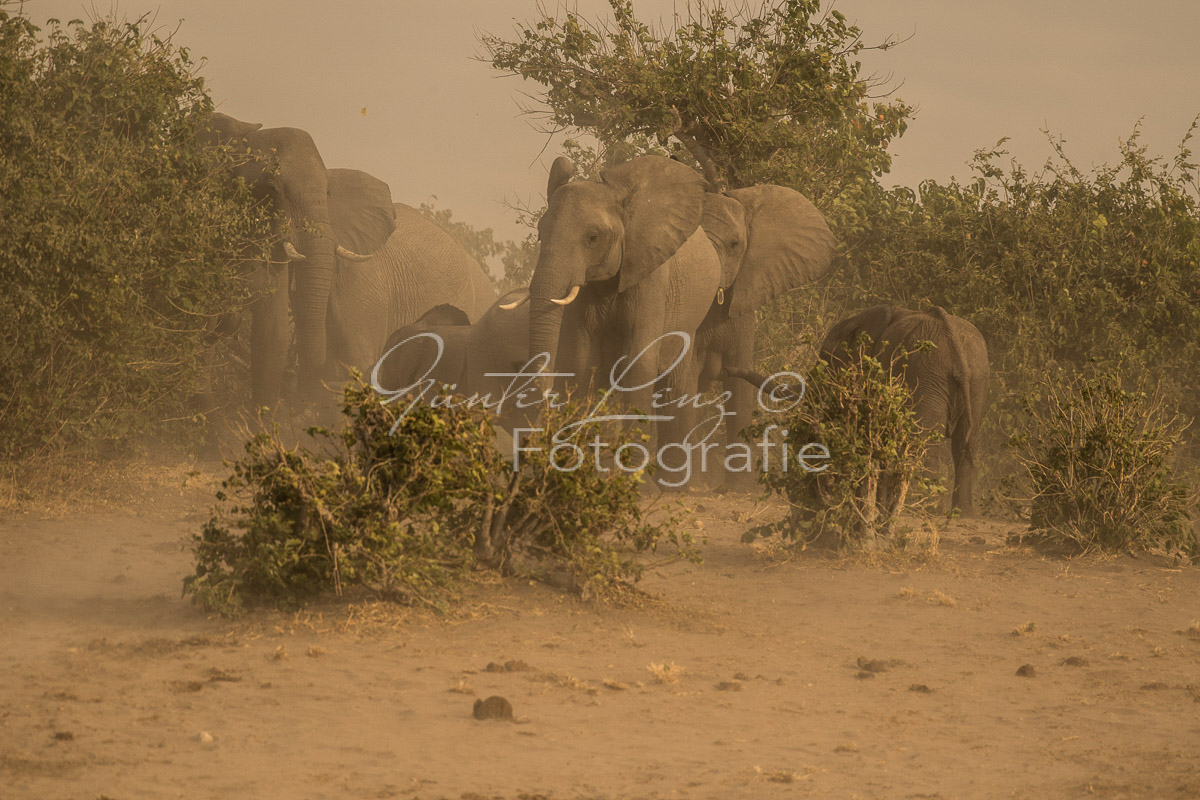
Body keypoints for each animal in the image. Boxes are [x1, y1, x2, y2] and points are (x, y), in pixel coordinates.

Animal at [528, 154, 720, 474]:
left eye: (593, 237)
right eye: (540, 233)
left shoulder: (651, 276)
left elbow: (638, 365)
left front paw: (631, 476)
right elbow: (582, 361)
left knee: (674, 388)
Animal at [816, 303, 993, 515]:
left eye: (827, 359)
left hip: (929, 377)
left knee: (924, 443)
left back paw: (923, 506)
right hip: (976, 381)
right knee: (966, 443)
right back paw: (963, 512)